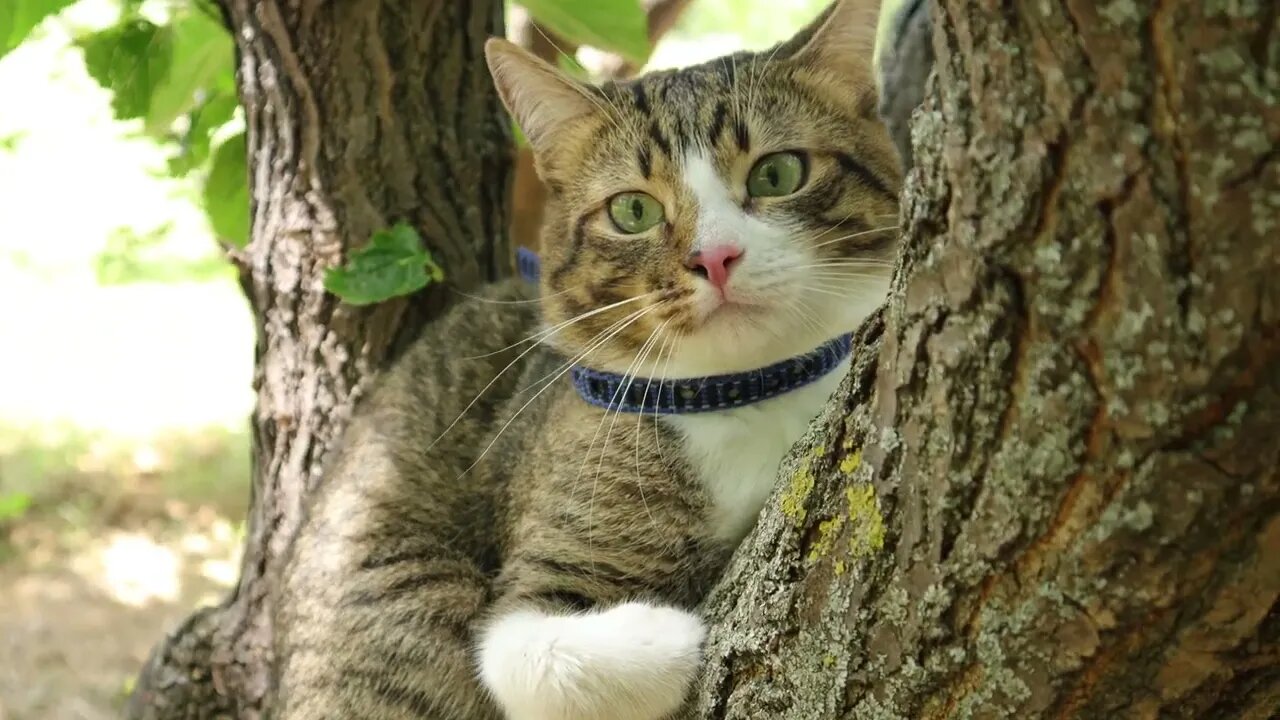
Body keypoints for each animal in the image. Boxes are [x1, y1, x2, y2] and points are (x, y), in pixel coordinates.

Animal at [275, 1, 906, 717]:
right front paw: (673, 631)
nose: (716, 258)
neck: (748, 389)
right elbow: (523, 651)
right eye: (633, 210)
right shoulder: (539, 575)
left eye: (778, 174)